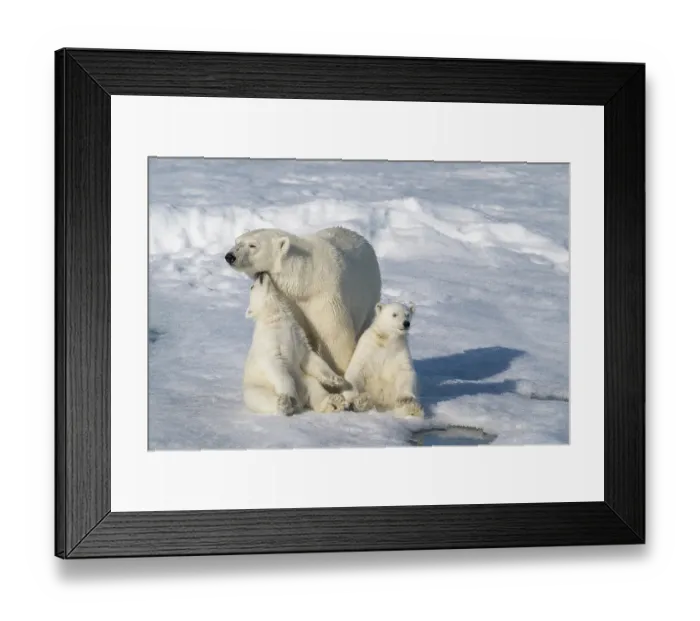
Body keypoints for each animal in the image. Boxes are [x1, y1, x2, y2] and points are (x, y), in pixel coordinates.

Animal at [225, 226, 381, 375]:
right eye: (237, 241)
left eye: (253, 245)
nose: (229, 256)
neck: (304, 282)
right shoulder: (289, 300)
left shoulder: (325, 296)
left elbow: (335, 336)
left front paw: (342, 371)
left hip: (370, 293)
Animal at [242, 272, 348, 416]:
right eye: (252, 287)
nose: (260, 273)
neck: (275, 318)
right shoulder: (269, 341)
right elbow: (276, 365)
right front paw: (291, 396)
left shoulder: (297, 334)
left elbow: (309, 356)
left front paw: (336, 379)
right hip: (255, 388)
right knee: (262, 398)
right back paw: (284, 404)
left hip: (304, 379)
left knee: (315, 388)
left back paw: (335, 402)